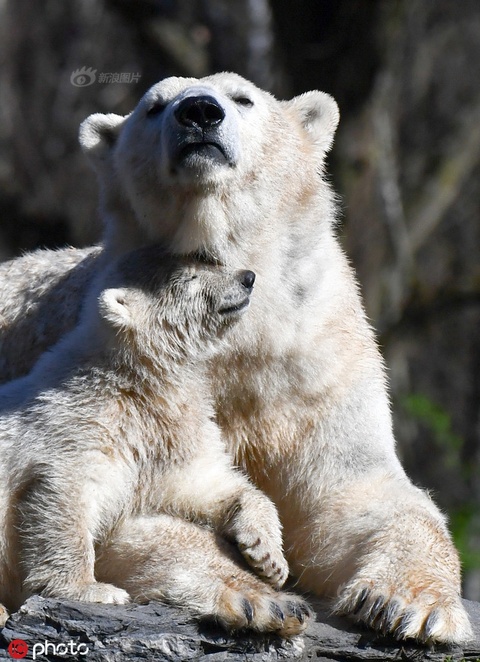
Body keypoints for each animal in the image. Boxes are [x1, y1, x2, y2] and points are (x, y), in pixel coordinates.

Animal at [0, 71, 470, 644]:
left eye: (243, 97)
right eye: (154, 105)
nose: (199, 112)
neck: (241, 345)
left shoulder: (314, 365)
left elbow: (357, 493)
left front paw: (409, 607)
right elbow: (133, 518)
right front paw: (263, 597)